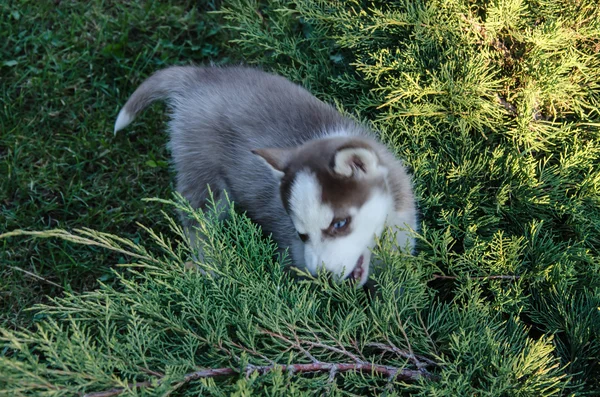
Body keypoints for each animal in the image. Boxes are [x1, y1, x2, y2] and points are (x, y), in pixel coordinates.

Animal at [113, 66, 418, 286]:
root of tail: (200, 76)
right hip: (205, 184)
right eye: (301, 234)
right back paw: (210, 266)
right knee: (197, 226)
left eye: (340, 224)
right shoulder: (292, 253)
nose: (322, 277)